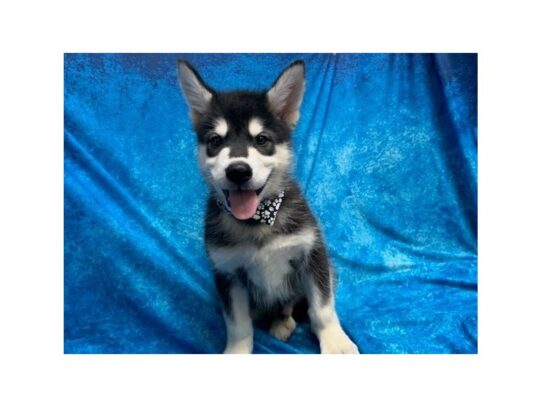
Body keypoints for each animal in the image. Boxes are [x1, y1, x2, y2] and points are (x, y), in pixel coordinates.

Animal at [178, 59, 362, 354]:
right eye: (216, 141)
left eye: (261, 140)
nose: (238, 171)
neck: (257, 221)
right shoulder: (228, 274)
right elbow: (238, 325)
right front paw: (237, 352)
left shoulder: (313, 256)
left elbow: (322, 307)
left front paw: (335, 343)